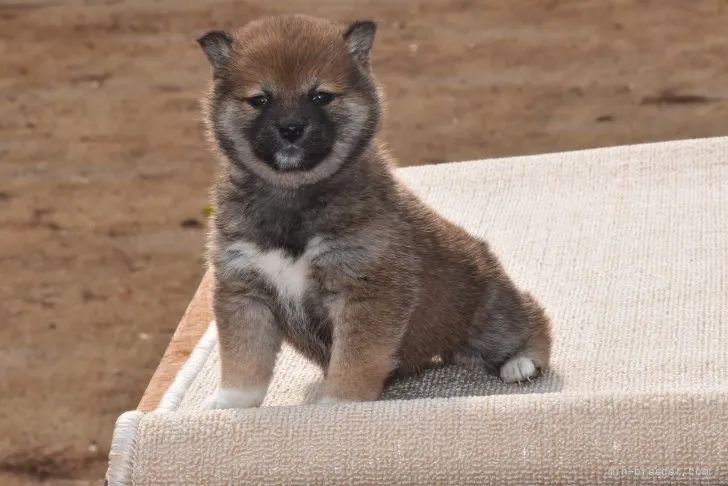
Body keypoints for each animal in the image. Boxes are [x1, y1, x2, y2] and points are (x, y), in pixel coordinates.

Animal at [196, 15, 548, 408]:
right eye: (260, 99)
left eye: (320, 96)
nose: (291, 128)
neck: (293, 195)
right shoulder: (245, 292)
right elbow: (243, 359)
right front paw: (230, 403)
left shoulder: (365, 291)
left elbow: (354, 361)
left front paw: (339, 404)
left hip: (489, 317)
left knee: (530, 319)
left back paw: (521, 361)